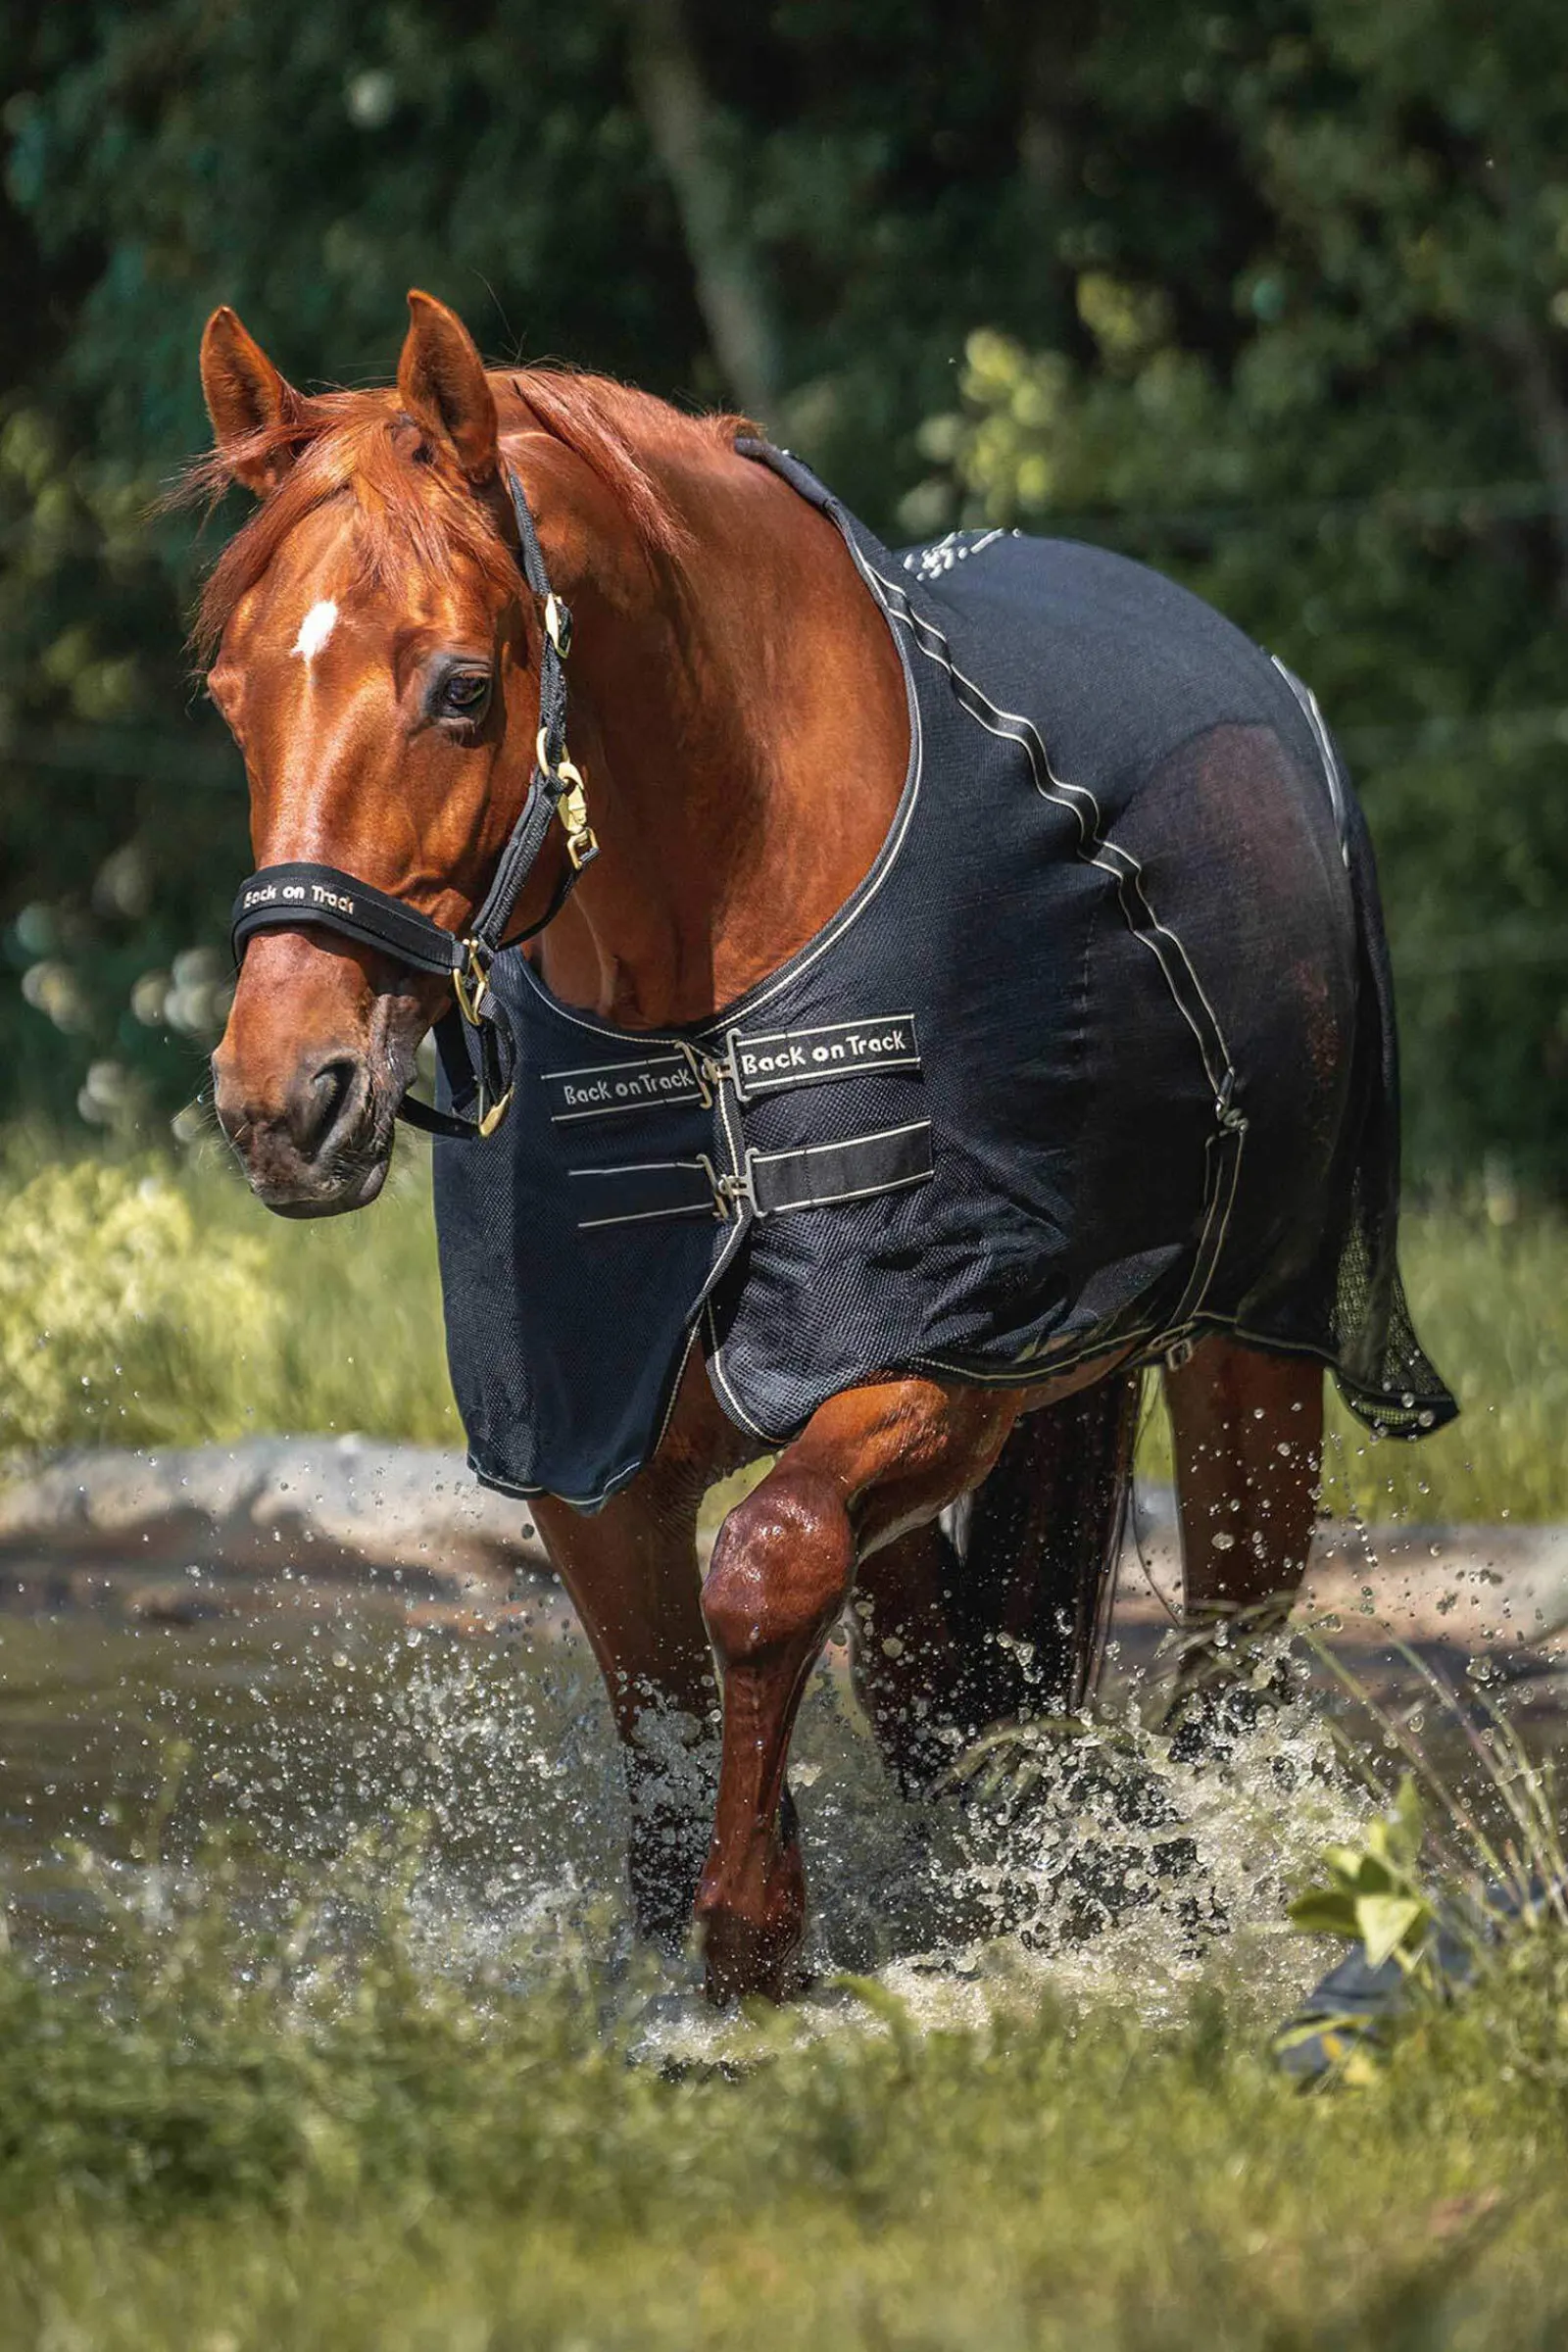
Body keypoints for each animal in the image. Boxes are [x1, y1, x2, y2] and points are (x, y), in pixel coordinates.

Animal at [195, 290, 1452, 2002]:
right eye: (231, 694)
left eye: (461, 687)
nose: (286, 1098)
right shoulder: (588, 1455)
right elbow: (676, 1712)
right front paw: (694, 1951)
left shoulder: (938, 1366)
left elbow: (770, 1564)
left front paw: (755, 1941)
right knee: (936, 1677)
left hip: (1257, 1348)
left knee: (1227, 1656)